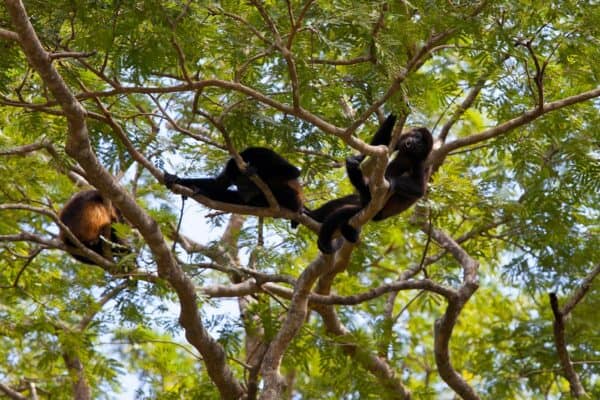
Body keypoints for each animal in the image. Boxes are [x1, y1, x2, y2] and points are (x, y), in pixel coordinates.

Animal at [308, 115, 434, 253]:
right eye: (417, 137)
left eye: (421, 144)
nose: (414, 142)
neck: (408, 154)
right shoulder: (401, 141)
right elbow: (382, 143)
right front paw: (395, 113)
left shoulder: (420, 162)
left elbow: (420, 189)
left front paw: (391, 180)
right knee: (346, 201)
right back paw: (313, 215)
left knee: (342, 211)